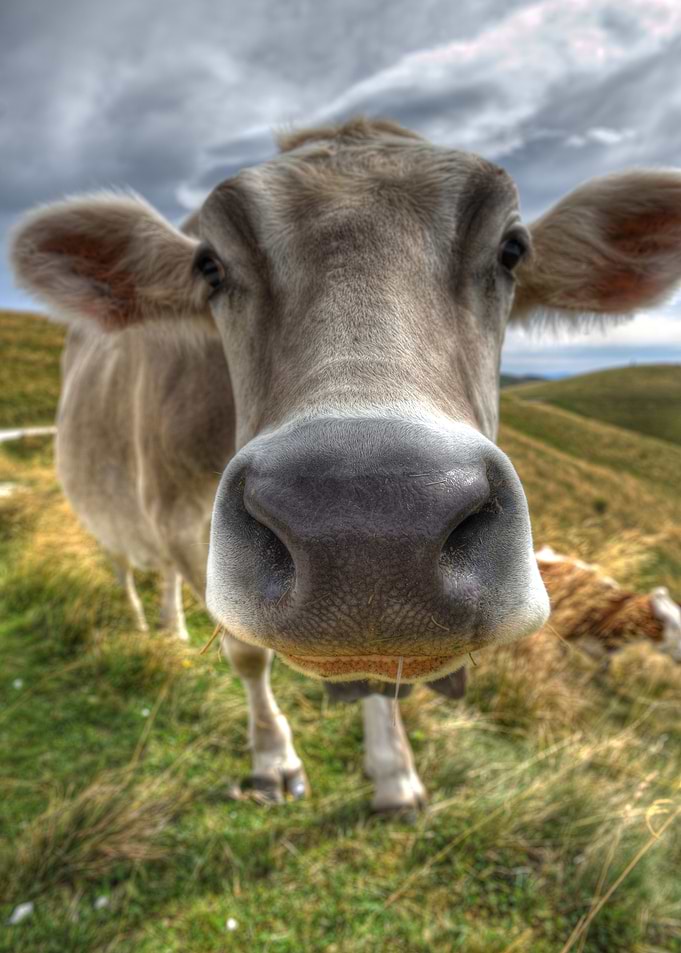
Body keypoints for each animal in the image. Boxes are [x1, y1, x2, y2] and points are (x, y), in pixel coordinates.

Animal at [10, 118, 681, 812]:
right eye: (210, 267)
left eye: (513, 250)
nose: (369, 529)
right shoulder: (181, 522)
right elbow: (247, 655)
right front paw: (273, 759)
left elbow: (382, 672)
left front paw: (395, 774)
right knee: (125, 566)